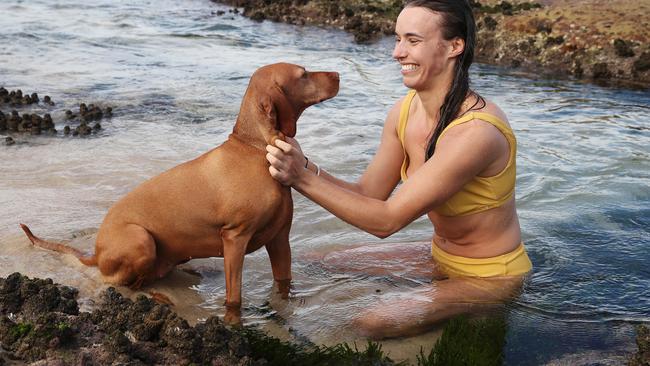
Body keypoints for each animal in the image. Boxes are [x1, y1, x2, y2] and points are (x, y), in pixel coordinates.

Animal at [20, 62, 340, 324]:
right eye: (303, 74)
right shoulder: (234, 238)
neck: (255, 147)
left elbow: (283, 285)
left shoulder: (280, 239)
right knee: (123, 283)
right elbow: (234, 298)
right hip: (141, 240)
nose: (338, 74)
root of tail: (96, 253)